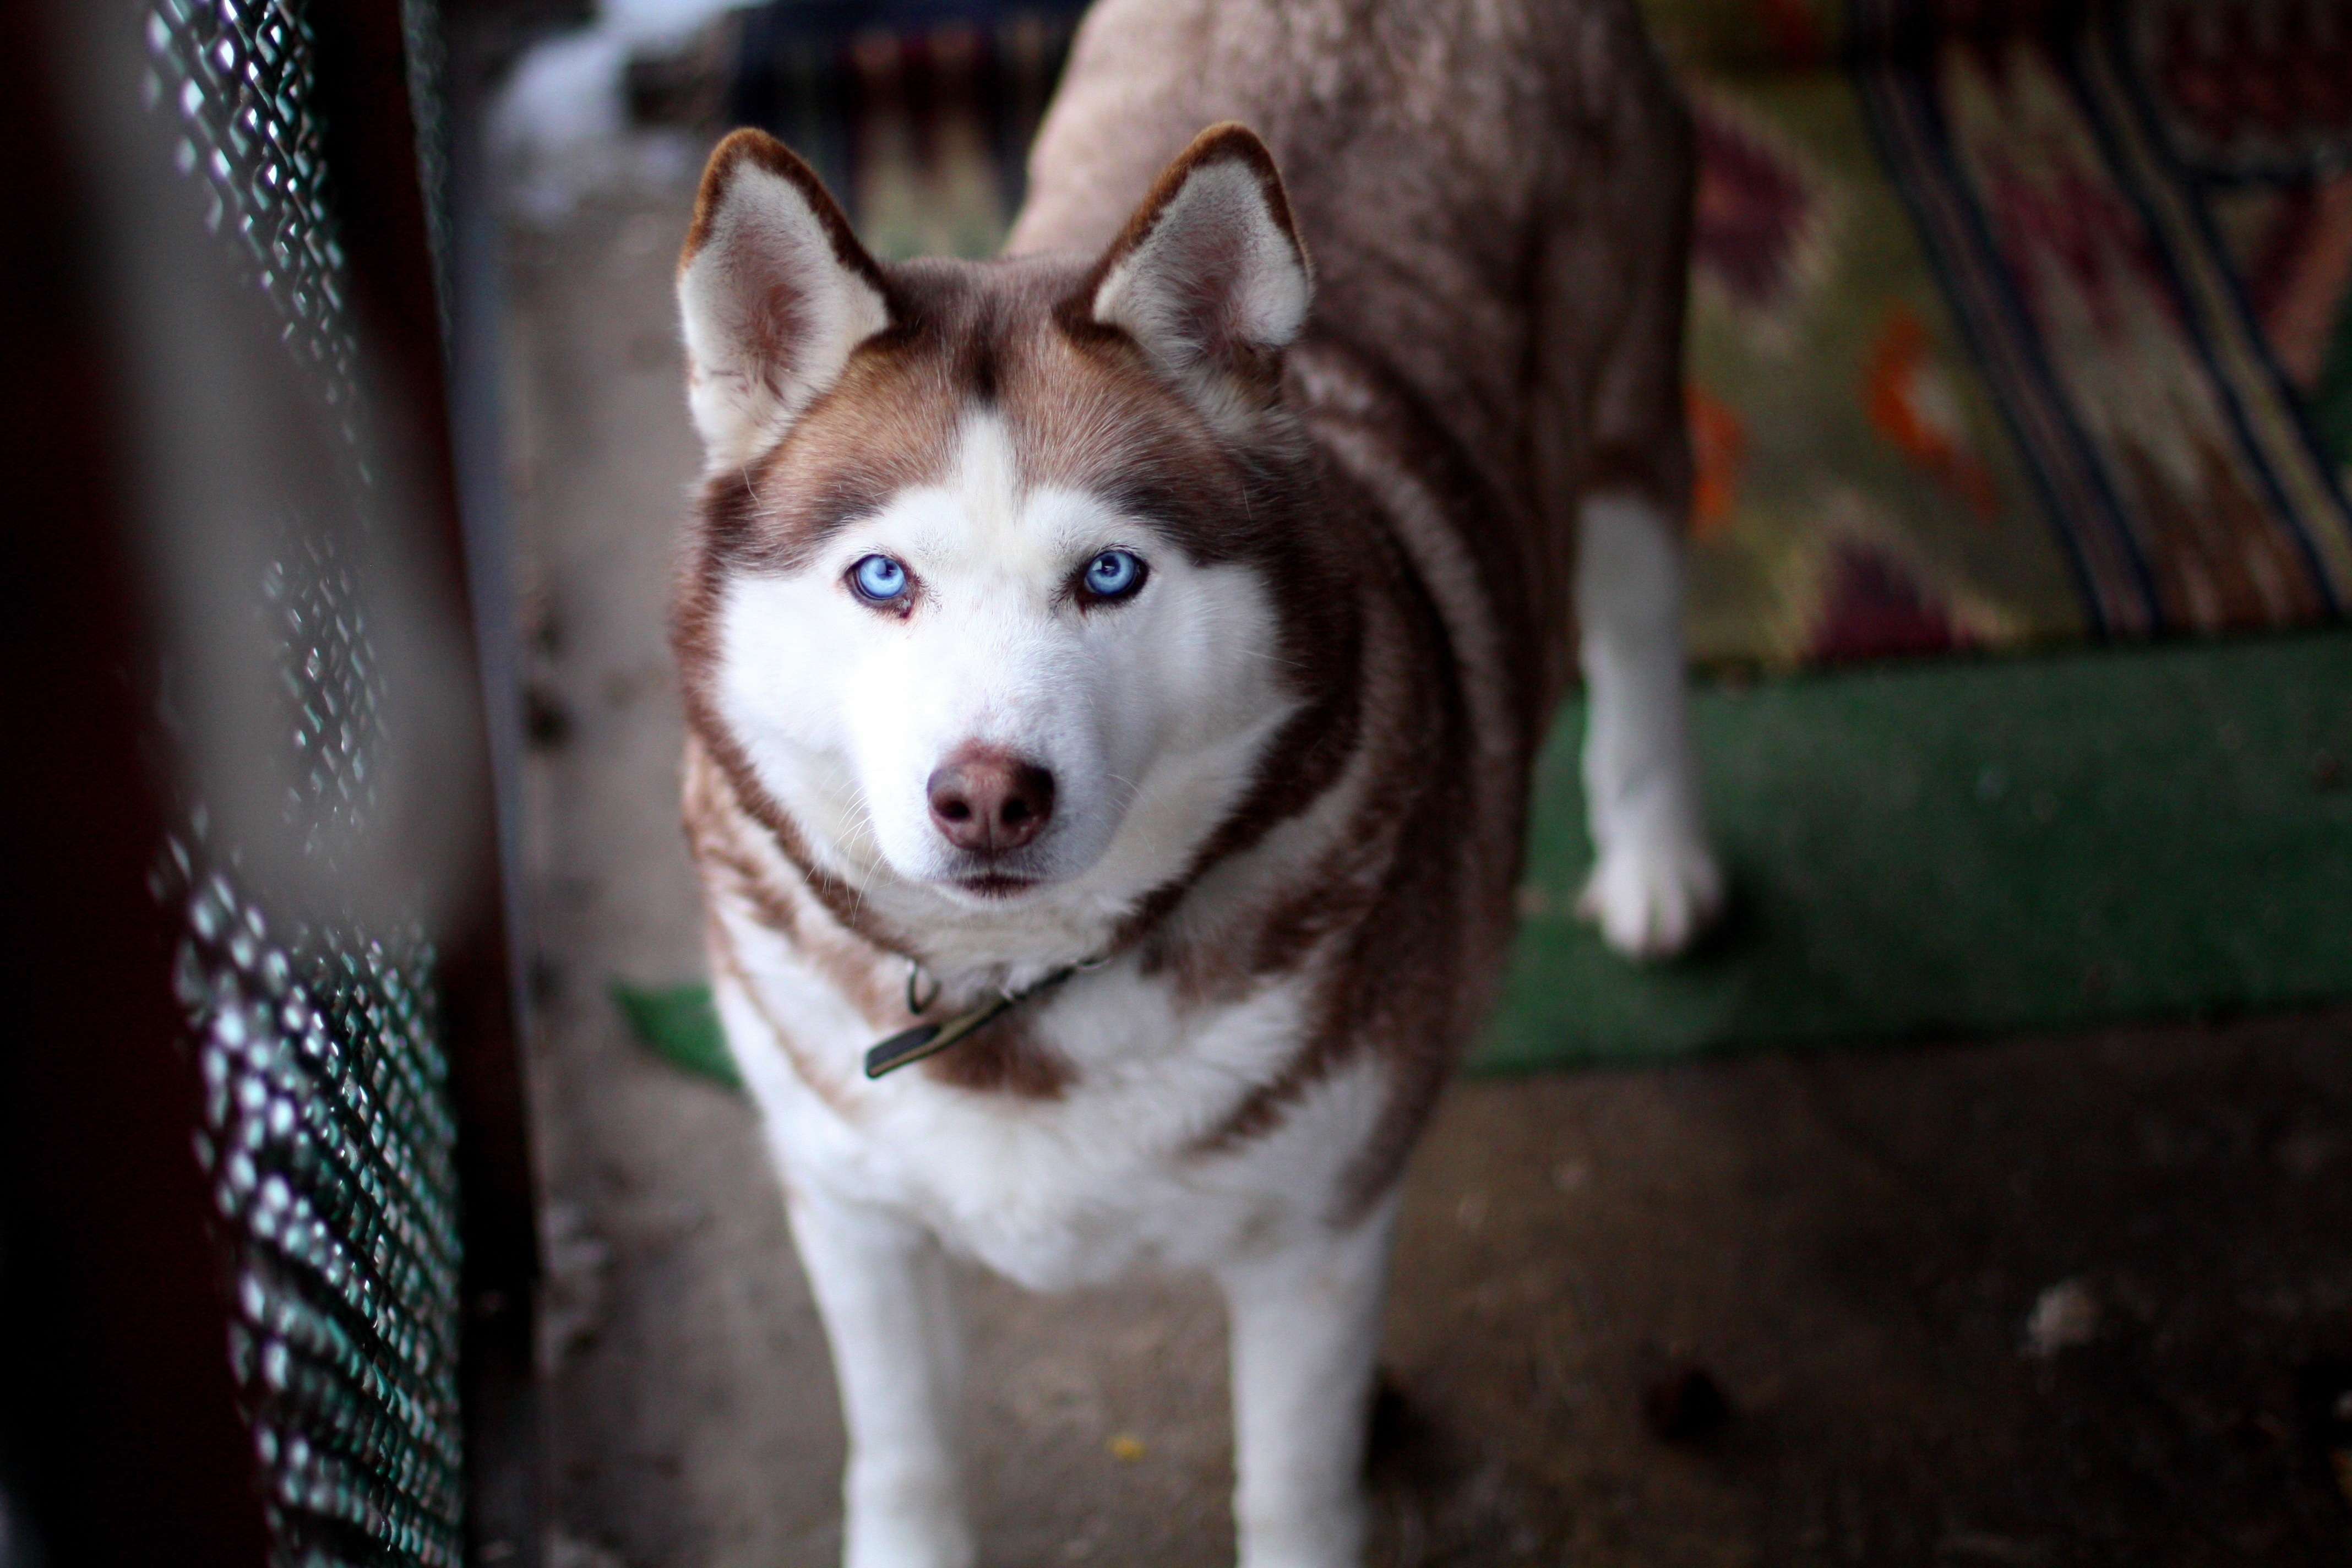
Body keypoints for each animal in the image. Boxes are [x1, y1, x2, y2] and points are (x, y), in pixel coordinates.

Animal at [672, 0, 1722, 1561]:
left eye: (1110, 574)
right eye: (883, 579)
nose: (989, 794)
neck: (1022, 996)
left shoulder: (1318, 1236)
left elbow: (1292, 1487)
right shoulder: (849, 1202)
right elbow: (905, 1453)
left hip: (1632, 408)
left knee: (1640, 615)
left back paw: (1658, 856)